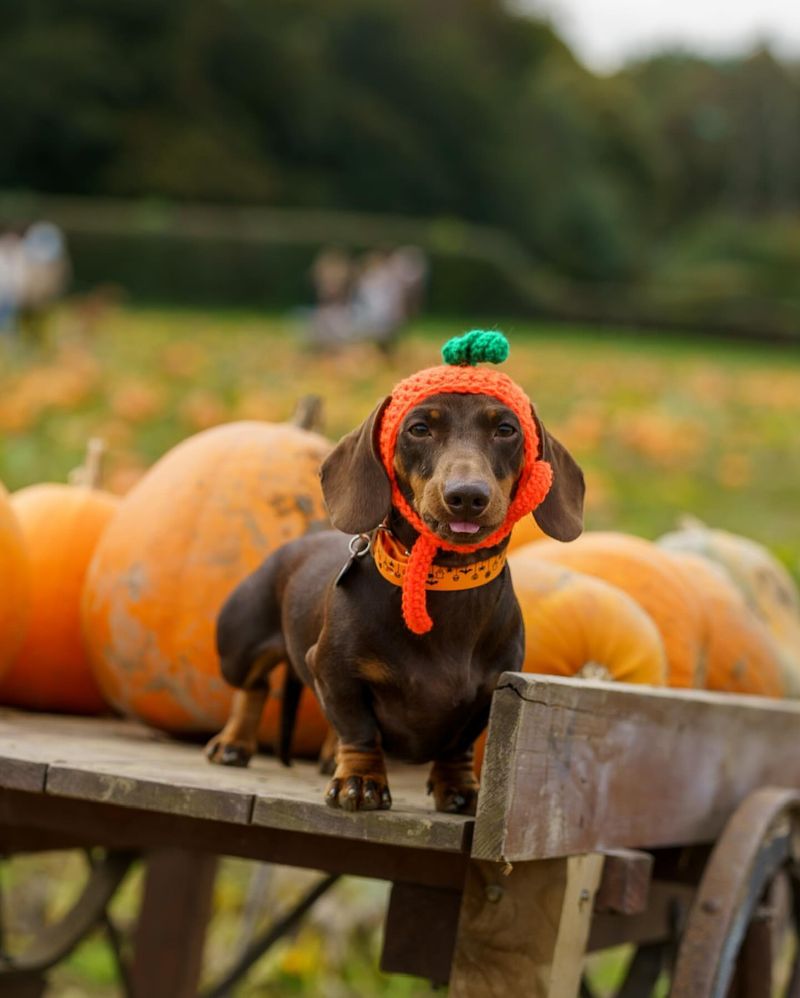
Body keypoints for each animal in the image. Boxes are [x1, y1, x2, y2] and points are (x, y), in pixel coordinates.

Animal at [205, 386, 580, 816]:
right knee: (254, 687)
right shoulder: (332, 670)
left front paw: (458, 788)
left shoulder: (491, 689)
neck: (443, 584)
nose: (467, 496)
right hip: (238, 650)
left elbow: (457, 745)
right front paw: (360, 781)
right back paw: (234, 742)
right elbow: (359, 729)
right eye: (419, 429)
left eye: (505, 429)